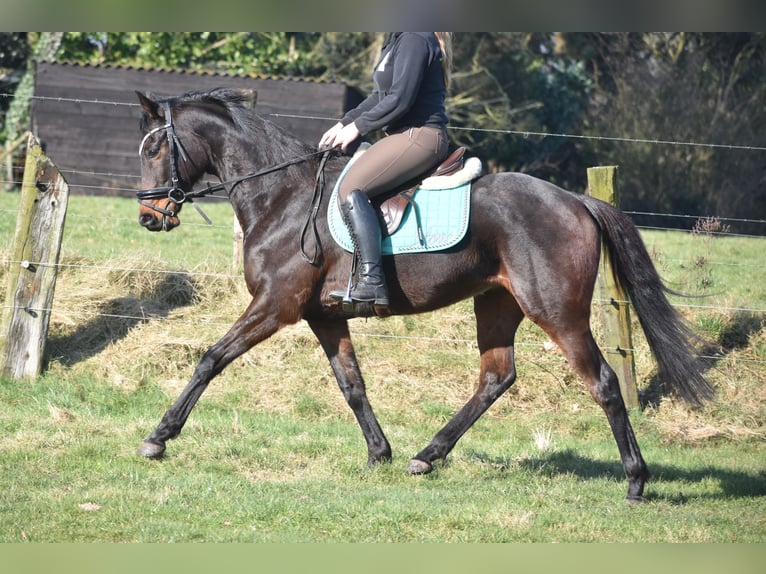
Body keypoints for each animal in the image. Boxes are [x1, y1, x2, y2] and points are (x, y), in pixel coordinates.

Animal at [132, 86, 712, 504]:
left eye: (156, 147)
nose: (148, 217)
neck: (283, 197)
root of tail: (576, 200)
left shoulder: (275, 307)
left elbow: (211, 359)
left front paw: (159, 436)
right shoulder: (324, 316)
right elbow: (352, 385)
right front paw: (379, 453)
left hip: (557, 312)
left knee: (604, 383)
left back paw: (636, 481)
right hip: (497, 304)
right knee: (496, 377)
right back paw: (426, 455)